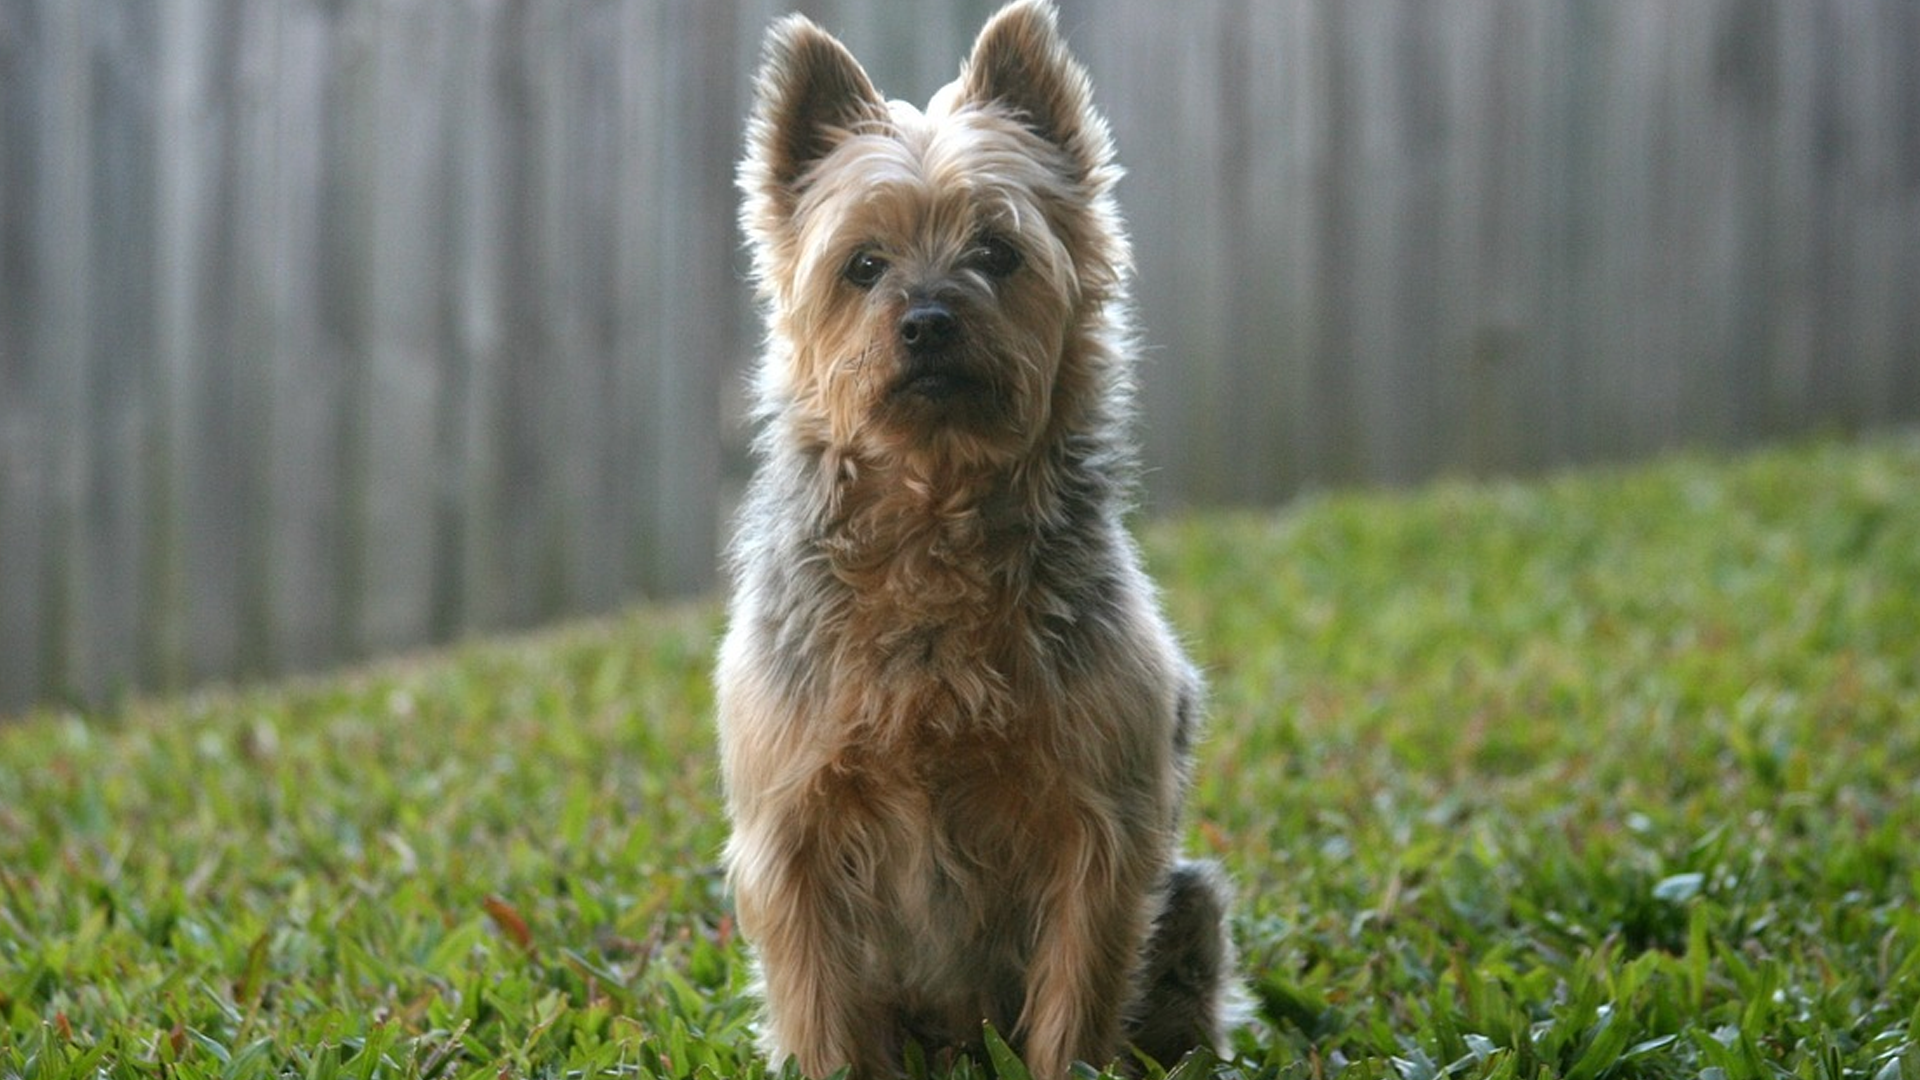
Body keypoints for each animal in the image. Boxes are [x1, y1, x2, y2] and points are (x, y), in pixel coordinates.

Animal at [721, 4, 1244, 1068]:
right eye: (863, 265)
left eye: (998, 253)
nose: (926, 320)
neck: (934, 514)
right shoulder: (790, 834)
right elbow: (819, 1008)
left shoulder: (1101, 830)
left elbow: (1077, 994)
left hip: (1192, 903)